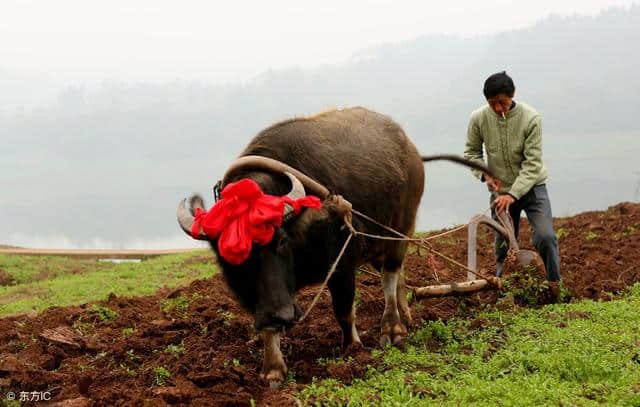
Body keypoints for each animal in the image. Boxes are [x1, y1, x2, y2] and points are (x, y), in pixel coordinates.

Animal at [178, 107, 492, 388]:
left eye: (281, 240)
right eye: (233, 255)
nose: (282, 314)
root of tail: (411, 150)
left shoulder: (343, 263)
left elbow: (343, 310)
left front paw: (352, 347)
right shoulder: (267, 296)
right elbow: (268, 326)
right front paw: (273, 369)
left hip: (401, 226)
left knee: (390, 274)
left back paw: (392, 328)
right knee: (399, 274)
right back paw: (406, 315)